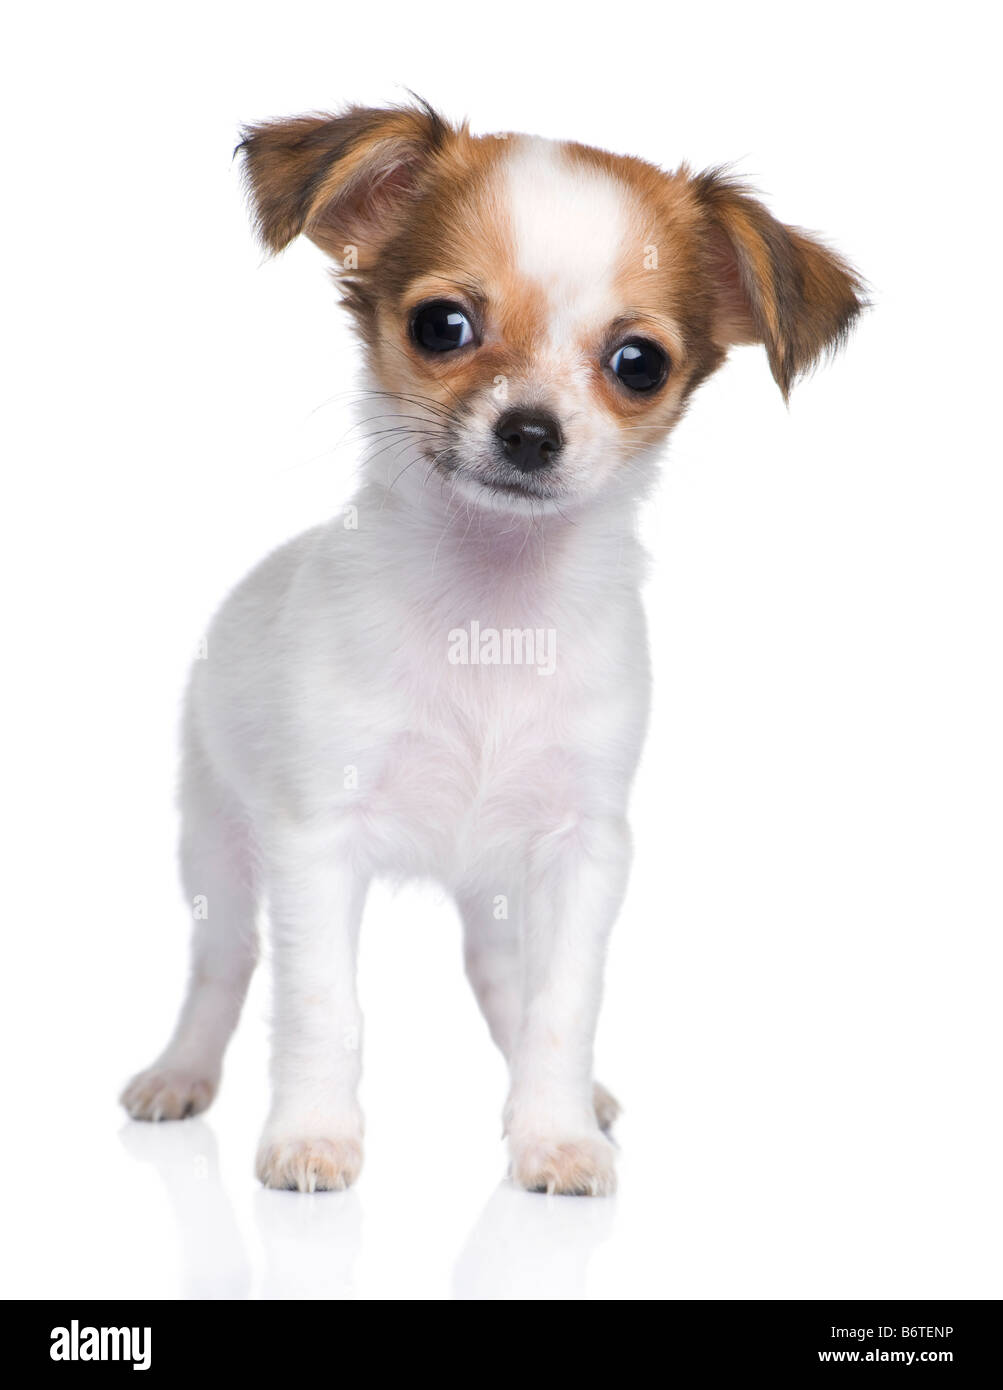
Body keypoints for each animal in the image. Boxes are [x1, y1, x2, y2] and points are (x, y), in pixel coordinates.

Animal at [122, 100, 861, 1195]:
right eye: (442, 326)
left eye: (638, 362)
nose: (529, 431)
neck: (491, 607)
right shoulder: (315, 841)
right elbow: (320, 1004)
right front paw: (312, 1136)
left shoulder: (583, 848)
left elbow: (561, 1006)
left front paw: (555, 1136)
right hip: (214, 842)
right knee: (223, 966)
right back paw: (179, 1073)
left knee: (500, 976)